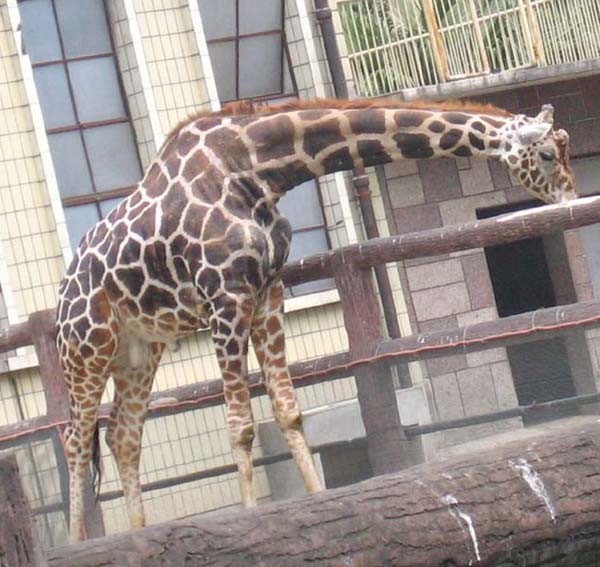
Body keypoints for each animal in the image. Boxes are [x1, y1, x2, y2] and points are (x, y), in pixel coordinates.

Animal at [57, 97, 576, 540]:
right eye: (549, 154)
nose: (570, 201)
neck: (254, 172)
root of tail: (61, 295)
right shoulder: (226, 297)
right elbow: (240, 423)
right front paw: (249, 518)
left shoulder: (267, 293)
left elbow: (289, 410)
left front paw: (319, 502)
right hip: (87, 347)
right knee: (75, 441)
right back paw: (79, 542)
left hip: (139, 348)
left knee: (123, 435)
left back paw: (138, 532)